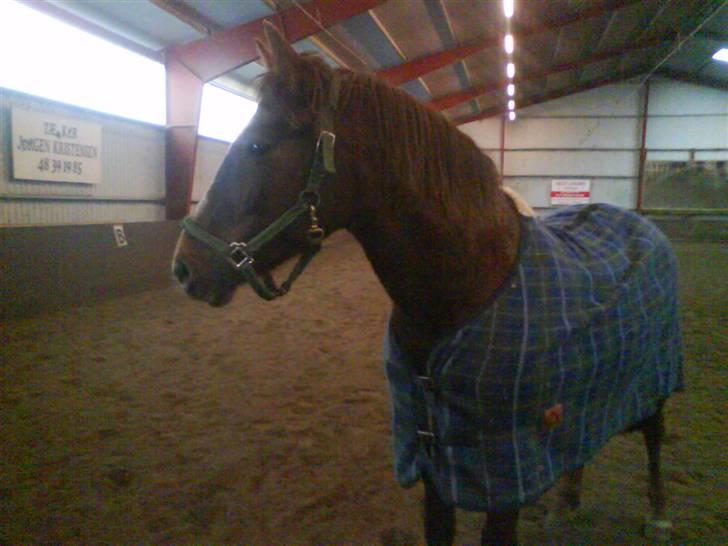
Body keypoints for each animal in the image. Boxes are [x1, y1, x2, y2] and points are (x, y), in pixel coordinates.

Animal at [172, 23, 683, 545]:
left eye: (258, 145)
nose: (185, 267)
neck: (464, 289)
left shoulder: (503, 477)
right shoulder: (433, 462)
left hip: (654, 376)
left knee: (654, 434)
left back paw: (660, 514)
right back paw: (568, 504)